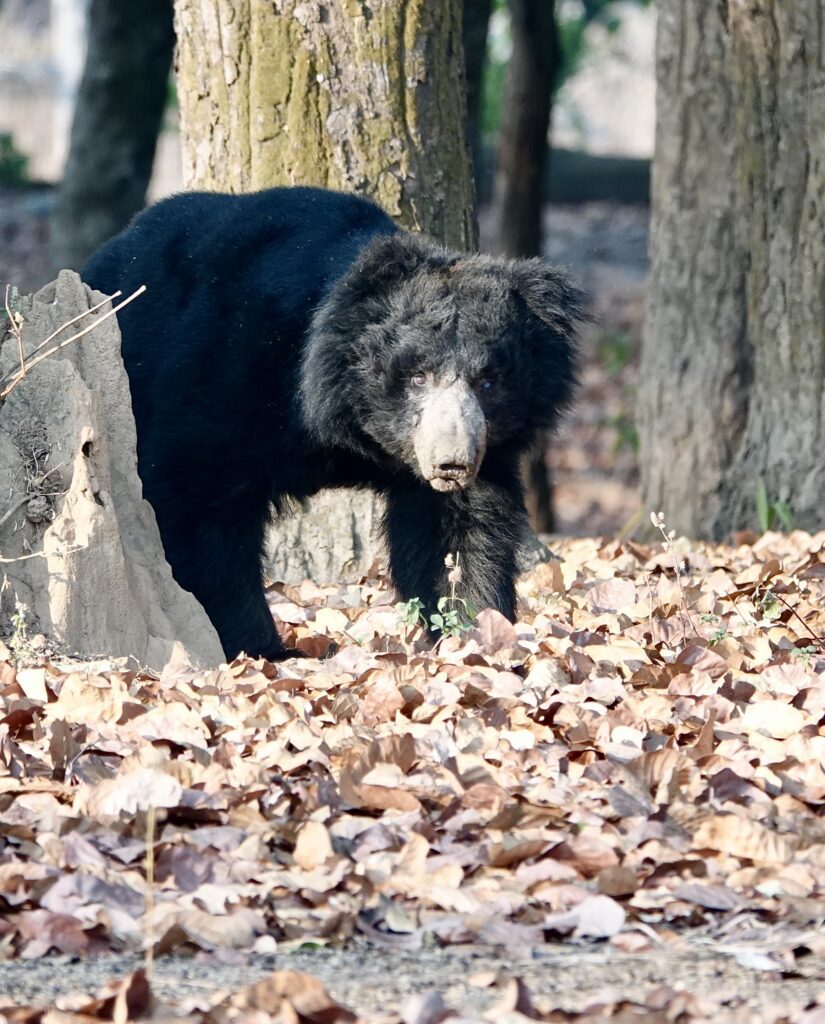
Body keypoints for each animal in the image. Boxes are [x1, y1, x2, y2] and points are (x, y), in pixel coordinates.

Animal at [82, 186, 581, 662]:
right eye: (417, 376)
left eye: (488, 381)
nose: (452, 464)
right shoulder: (223, 374)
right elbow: (199, 505)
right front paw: (256, 646)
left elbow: (457, 531)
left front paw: (475, 629)